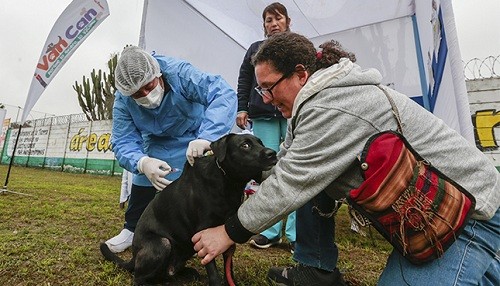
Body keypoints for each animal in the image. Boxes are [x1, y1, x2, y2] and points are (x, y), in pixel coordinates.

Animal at [99, 135, 276, 286]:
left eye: (260, 142)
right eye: (245, 145)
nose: (272, 153)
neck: (228, 182)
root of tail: (134, 257)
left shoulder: (225, 234)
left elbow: (228, 267)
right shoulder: (204, 233)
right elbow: (213, 270)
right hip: (162, 244)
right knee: (139, 277)